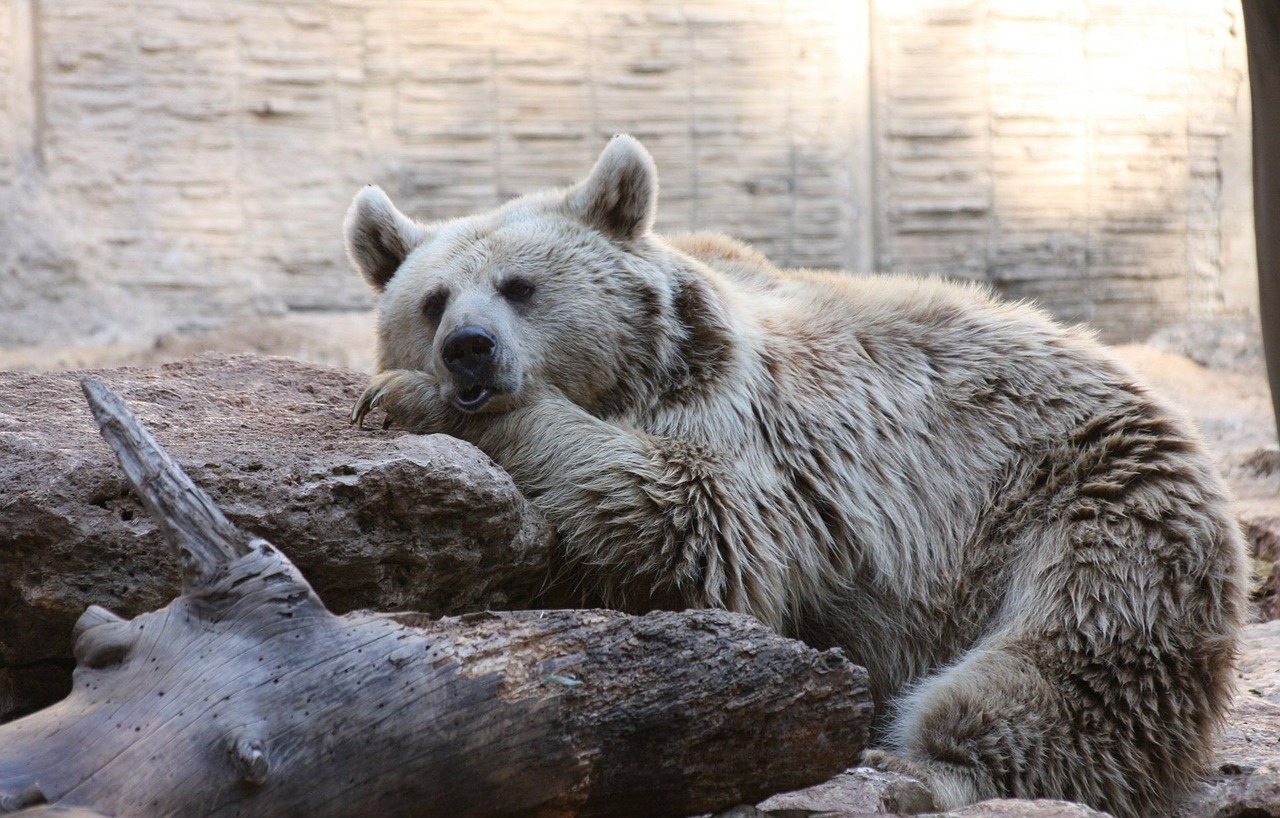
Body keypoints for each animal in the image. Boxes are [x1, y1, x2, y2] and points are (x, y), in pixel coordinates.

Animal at [345, 131, 1244, 814]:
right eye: (432, 299)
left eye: (520, 285)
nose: (468, 350)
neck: (644, 373)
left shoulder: (750, 430)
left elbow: (689, 518)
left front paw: (409, 397)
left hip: (1085, 501)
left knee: (1068, 659)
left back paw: (918, 768)